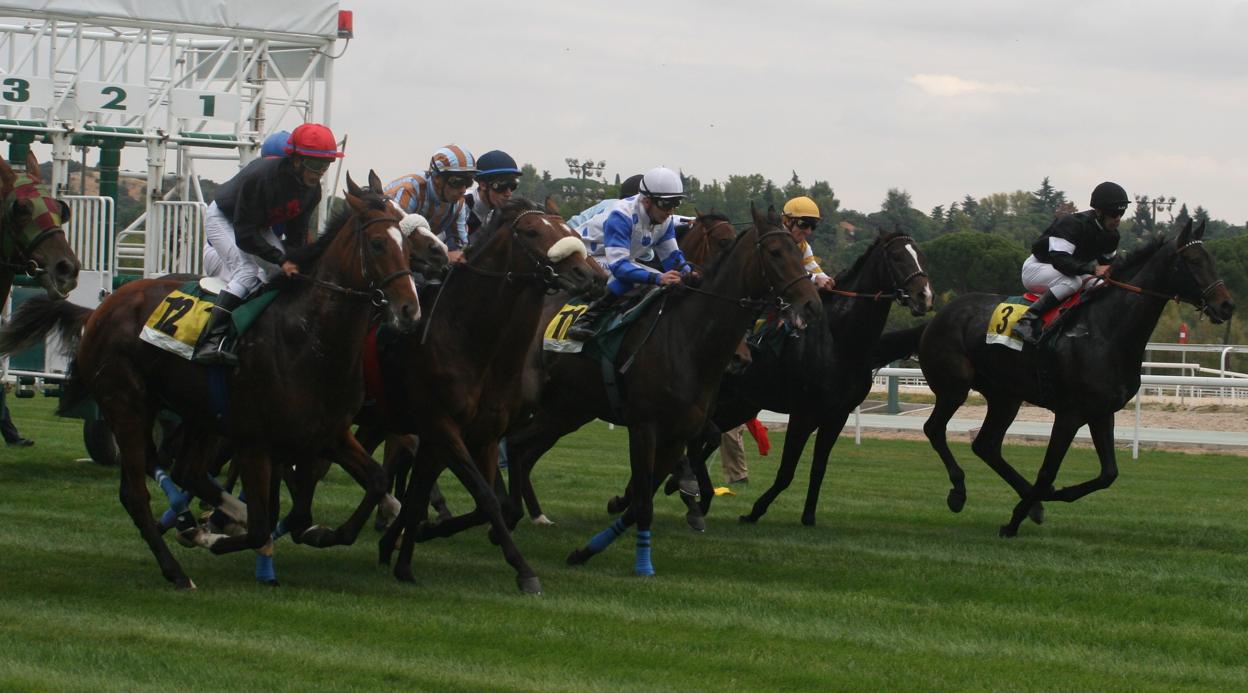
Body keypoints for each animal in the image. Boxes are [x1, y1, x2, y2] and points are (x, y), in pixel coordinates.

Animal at [0, 171, 424, 589]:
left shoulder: (329, 432)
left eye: (407, 243)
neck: (309, 336)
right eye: (377, 244)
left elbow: (371, 483)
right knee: (136, 493)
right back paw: (177, 567)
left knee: (186, 470)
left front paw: (325, 531)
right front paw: (219, 537)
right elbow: (262, 525)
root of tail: (98, 309)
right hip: (127, 405)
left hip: (197, 413)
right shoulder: (256, 441)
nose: (409, 309)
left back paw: (204, 519)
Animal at [356, 198, 604, 594]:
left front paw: (405, 550)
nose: (591, 276)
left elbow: (482, 501)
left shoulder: (481, 433)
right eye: (532, 232)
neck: (469, 340)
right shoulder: (442, 426)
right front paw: (524, 570)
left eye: (568, 229)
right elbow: (483, 496)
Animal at [501, 203, 823, 576]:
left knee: (520, 448)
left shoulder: (679, 432)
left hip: (567, 410)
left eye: (798, 251)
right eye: (774, 252)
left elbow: (642, 500)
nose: (813, 304)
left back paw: (521, 513)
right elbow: (643, 502)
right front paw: (644, 558)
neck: (686, 337)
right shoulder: (644, 428)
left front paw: (586, 550)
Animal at [923, 221, 1233, 536]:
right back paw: (959, 492)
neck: (1105, 331)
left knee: (986, 445)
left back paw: (1032, 504)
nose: (1226, 305)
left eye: (1211, 259)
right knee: (934, 429)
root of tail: (938, 316)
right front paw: (1013, 521)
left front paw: (1048, 498)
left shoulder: (1102, 412)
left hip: (1006, 397)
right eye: (1193, 260)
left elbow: (1108, 474)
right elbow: (1047, 472)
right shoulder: (1069, 414)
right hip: (954, 387)